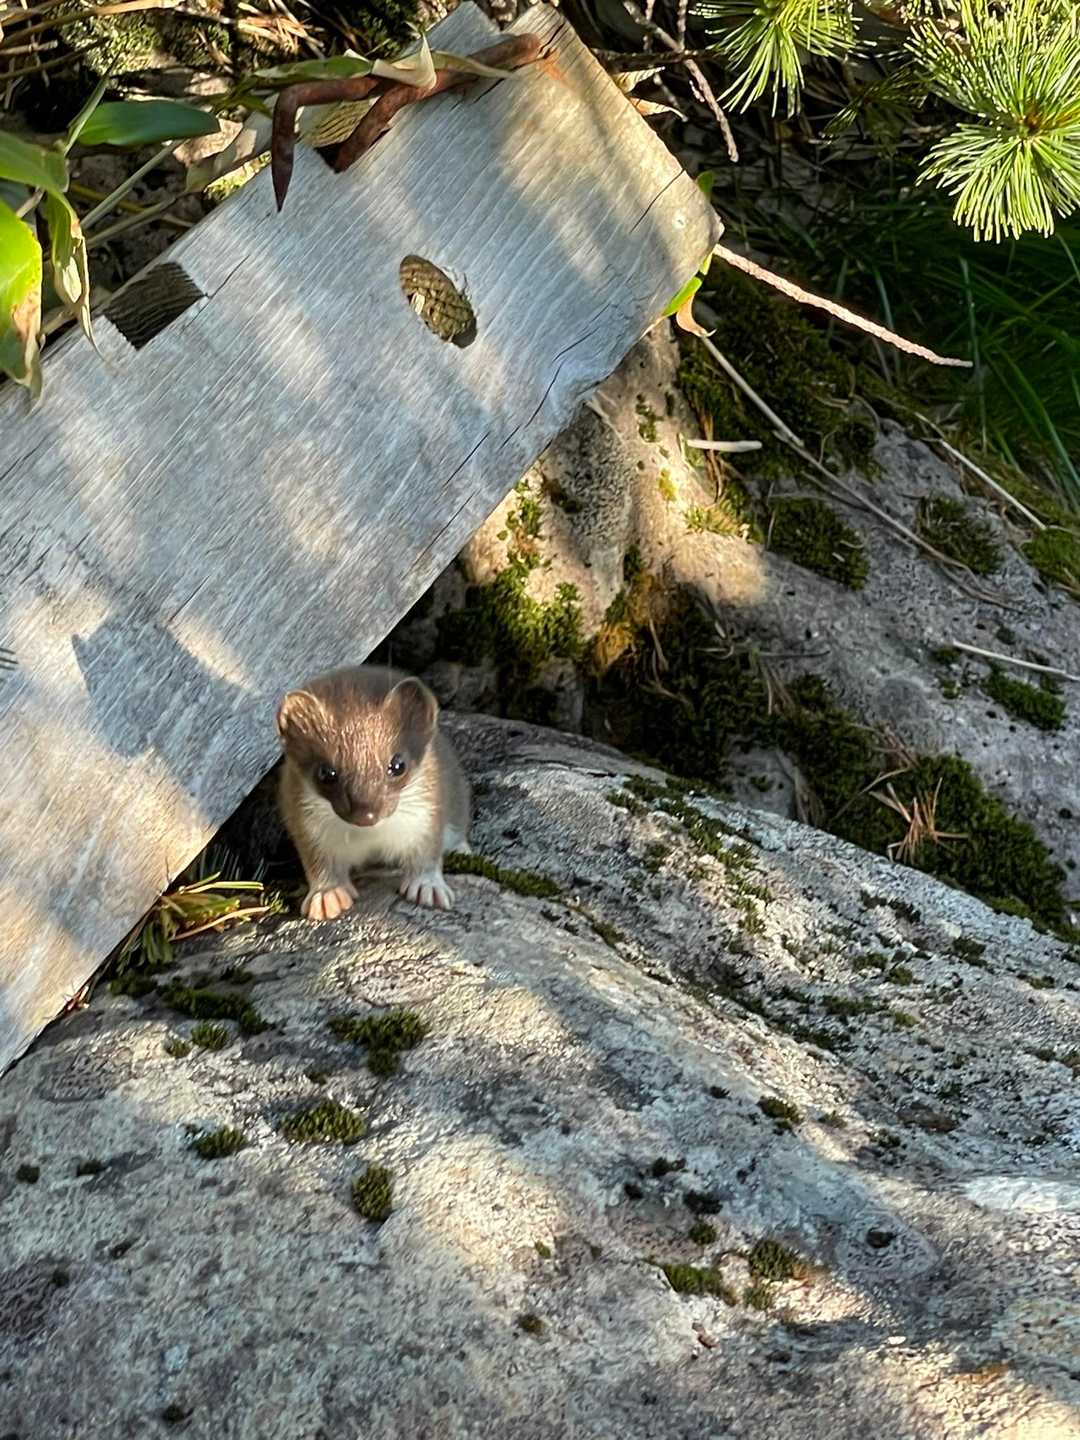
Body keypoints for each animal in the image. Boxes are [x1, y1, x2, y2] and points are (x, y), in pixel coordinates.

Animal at [276, 664, 471, 921]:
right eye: (326, 772)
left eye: (398, 764)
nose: (365, 814)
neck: (371, 838)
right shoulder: (307, 825)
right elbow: (319, 862)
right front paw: (327, 895)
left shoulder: (427, 815)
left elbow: (426, 851)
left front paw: (427, 887)